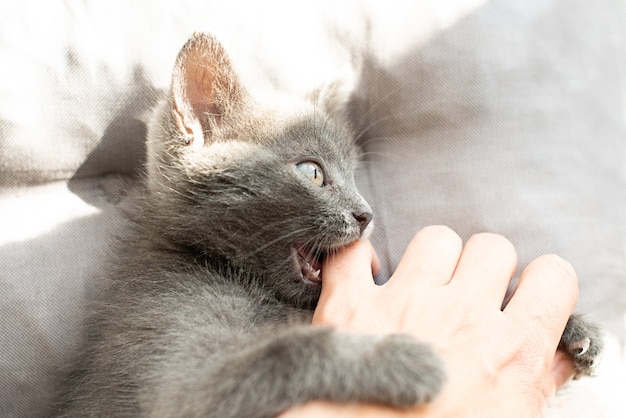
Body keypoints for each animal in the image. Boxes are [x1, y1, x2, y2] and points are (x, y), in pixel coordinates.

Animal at [57, 33, 600, 418]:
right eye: (312, 172)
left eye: (355, 175)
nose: (366, 214)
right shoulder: (173, 365)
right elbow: (285, 352)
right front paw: (399, 361)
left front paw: (573, 326)